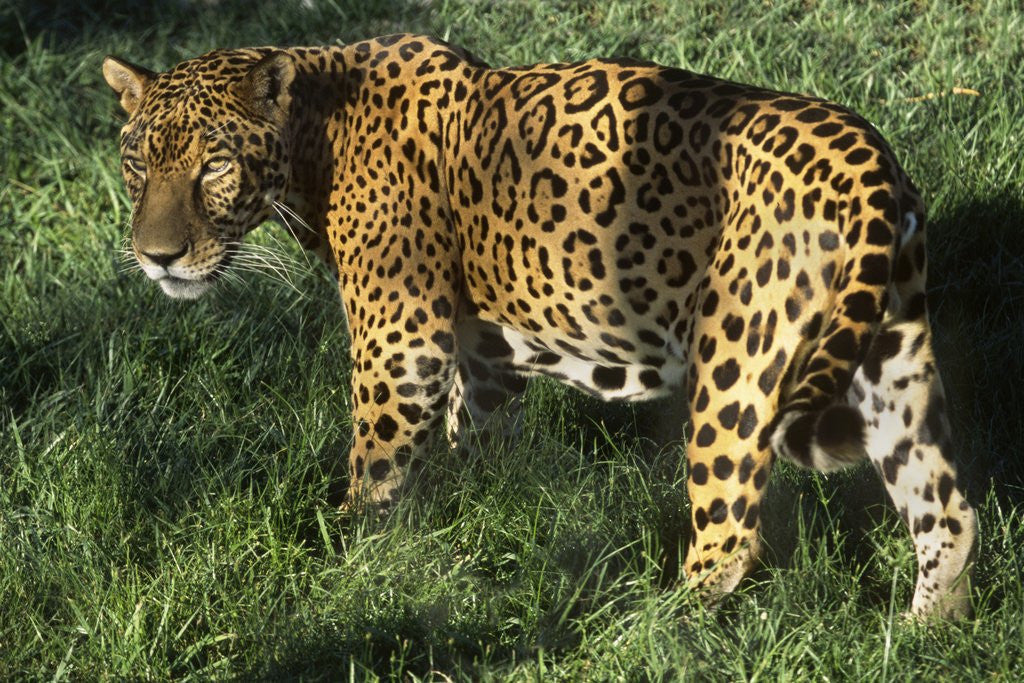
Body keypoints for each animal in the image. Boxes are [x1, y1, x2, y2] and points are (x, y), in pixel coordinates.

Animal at [102, 33, 977, 618]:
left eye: (215, 164)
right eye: (138, 163)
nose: (156, 257)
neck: (317, 134)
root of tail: (868, 157)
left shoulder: (400, 341)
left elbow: (375, 466)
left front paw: (342, 562)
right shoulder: (481, 349)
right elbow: (479, 437)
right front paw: (483, 521)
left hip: (736, 365)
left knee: (730, 535)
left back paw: (652, 630)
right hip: (891, 353)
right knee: (947, 512)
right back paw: (923, 636)